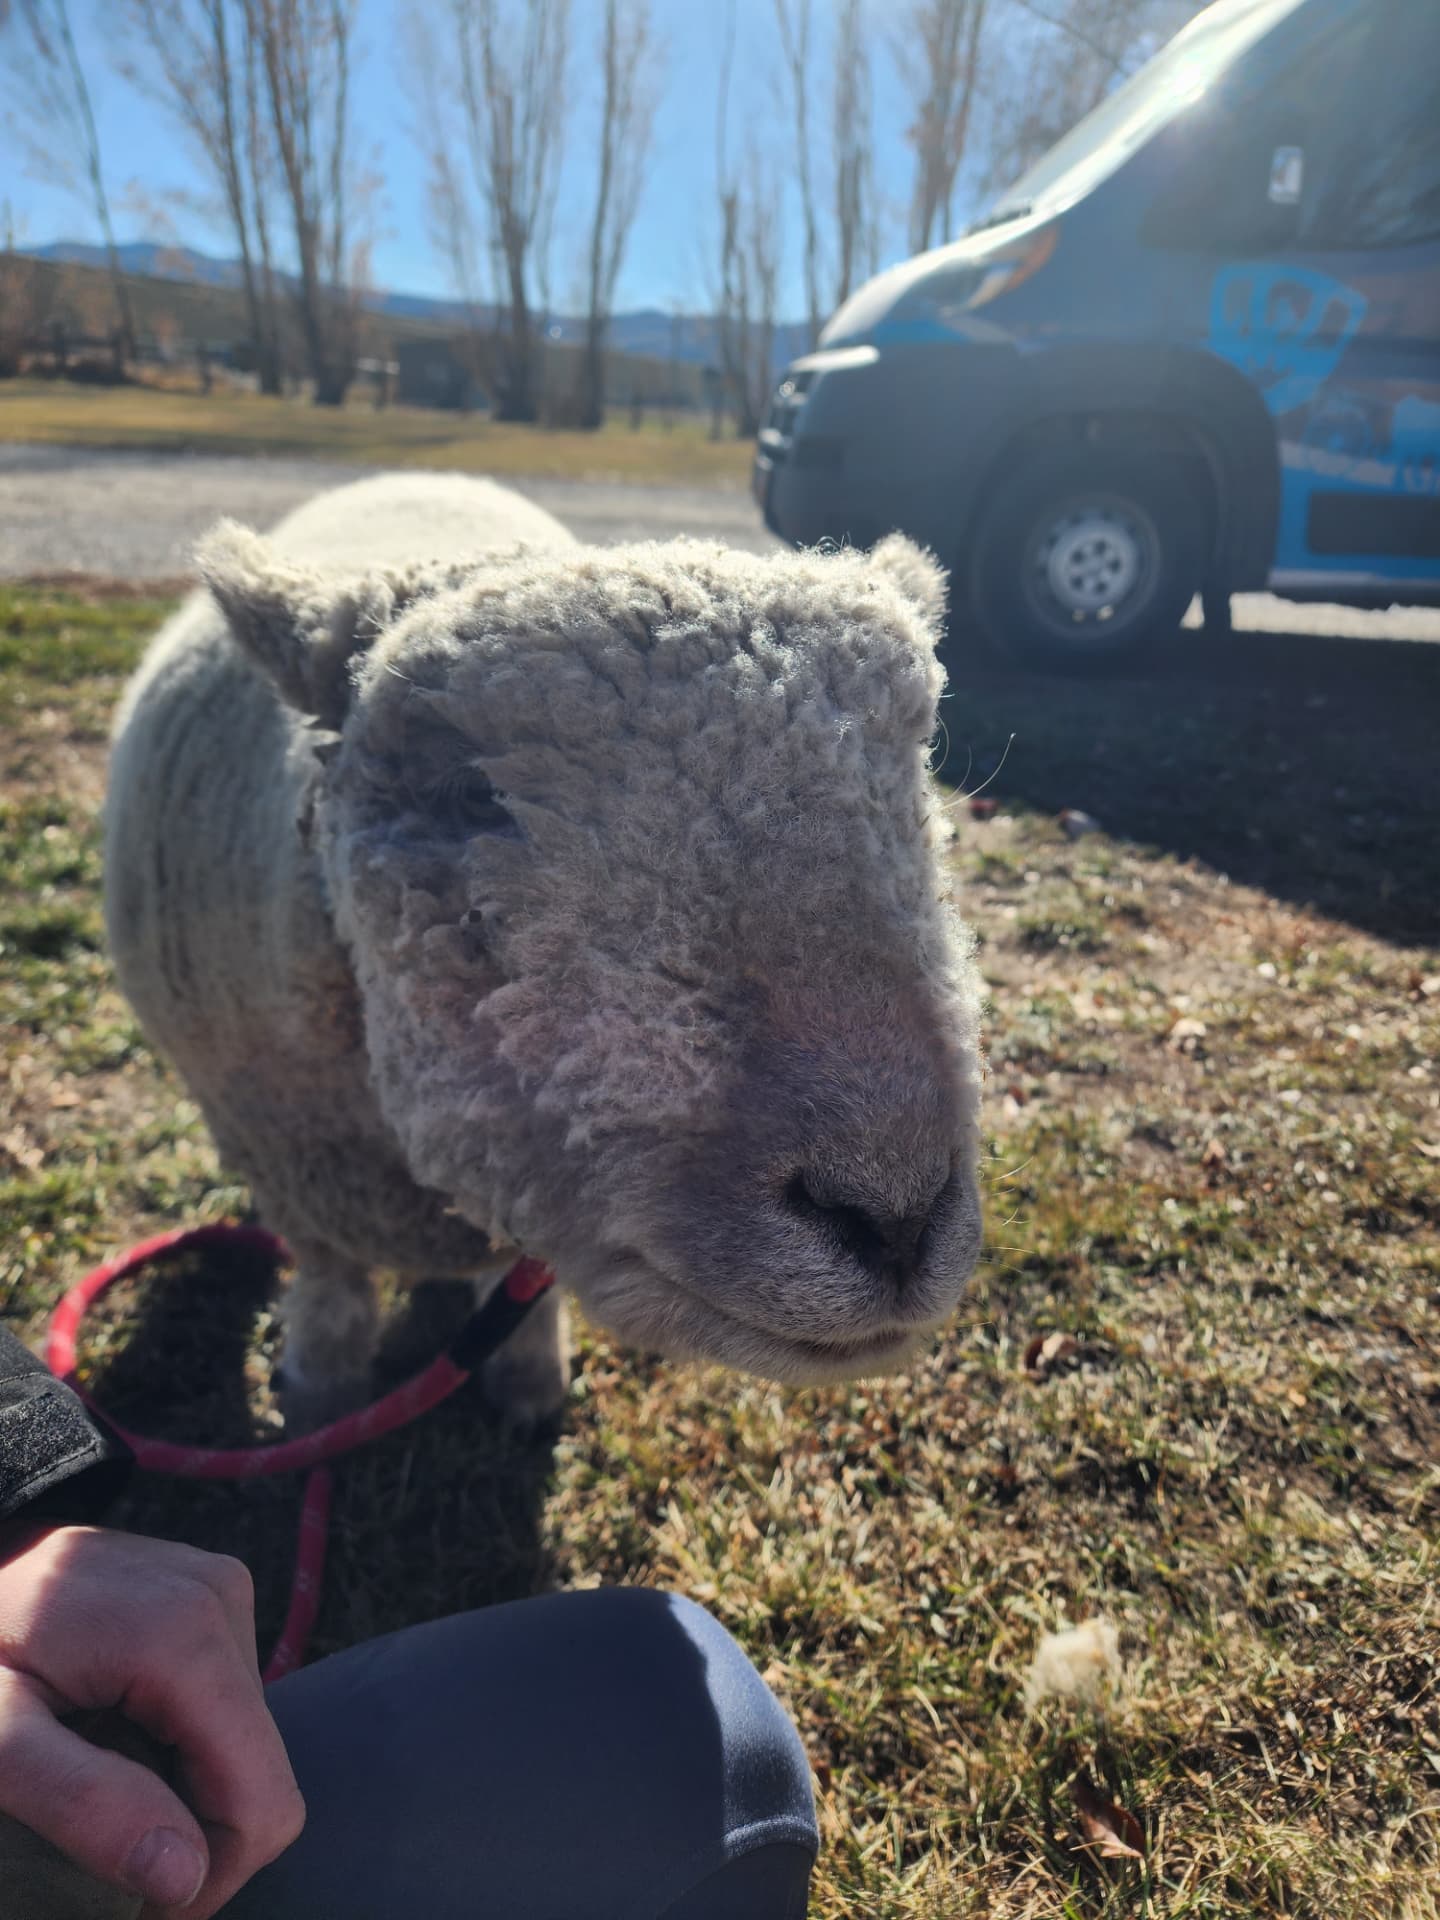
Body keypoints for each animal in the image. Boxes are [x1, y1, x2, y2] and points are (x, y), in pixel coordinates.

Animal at [103, 472, 983, 1431]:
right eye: (470, 796)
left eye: (914, 774)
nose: (892, 1213)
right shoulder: (283, 1160)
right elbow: (332, 1282)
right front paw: (321, 1390)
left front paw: (527, 1382)